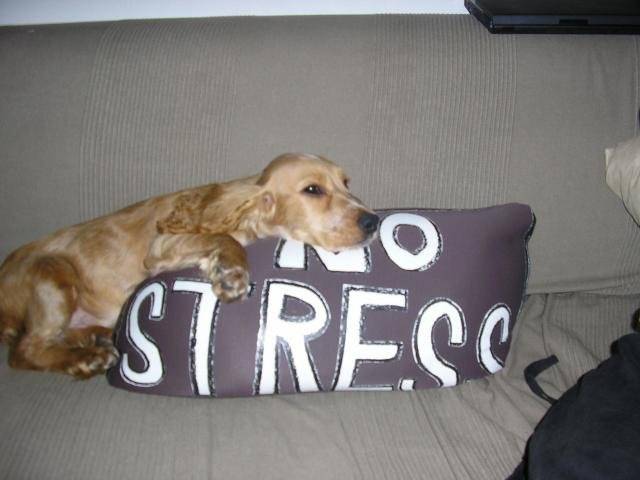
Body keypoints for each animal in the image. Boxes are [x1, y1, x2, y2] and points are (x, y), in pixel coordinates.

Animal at [0, 153, 379, 379]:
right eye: (313, 190)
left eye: (346, 183)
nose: (373, 221)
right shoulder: (161, 245)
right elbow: (224, 239)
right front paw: (231, 274)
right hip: (52, 273)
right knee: (24, 350)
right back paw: (84, 358)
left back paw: (96, 338)